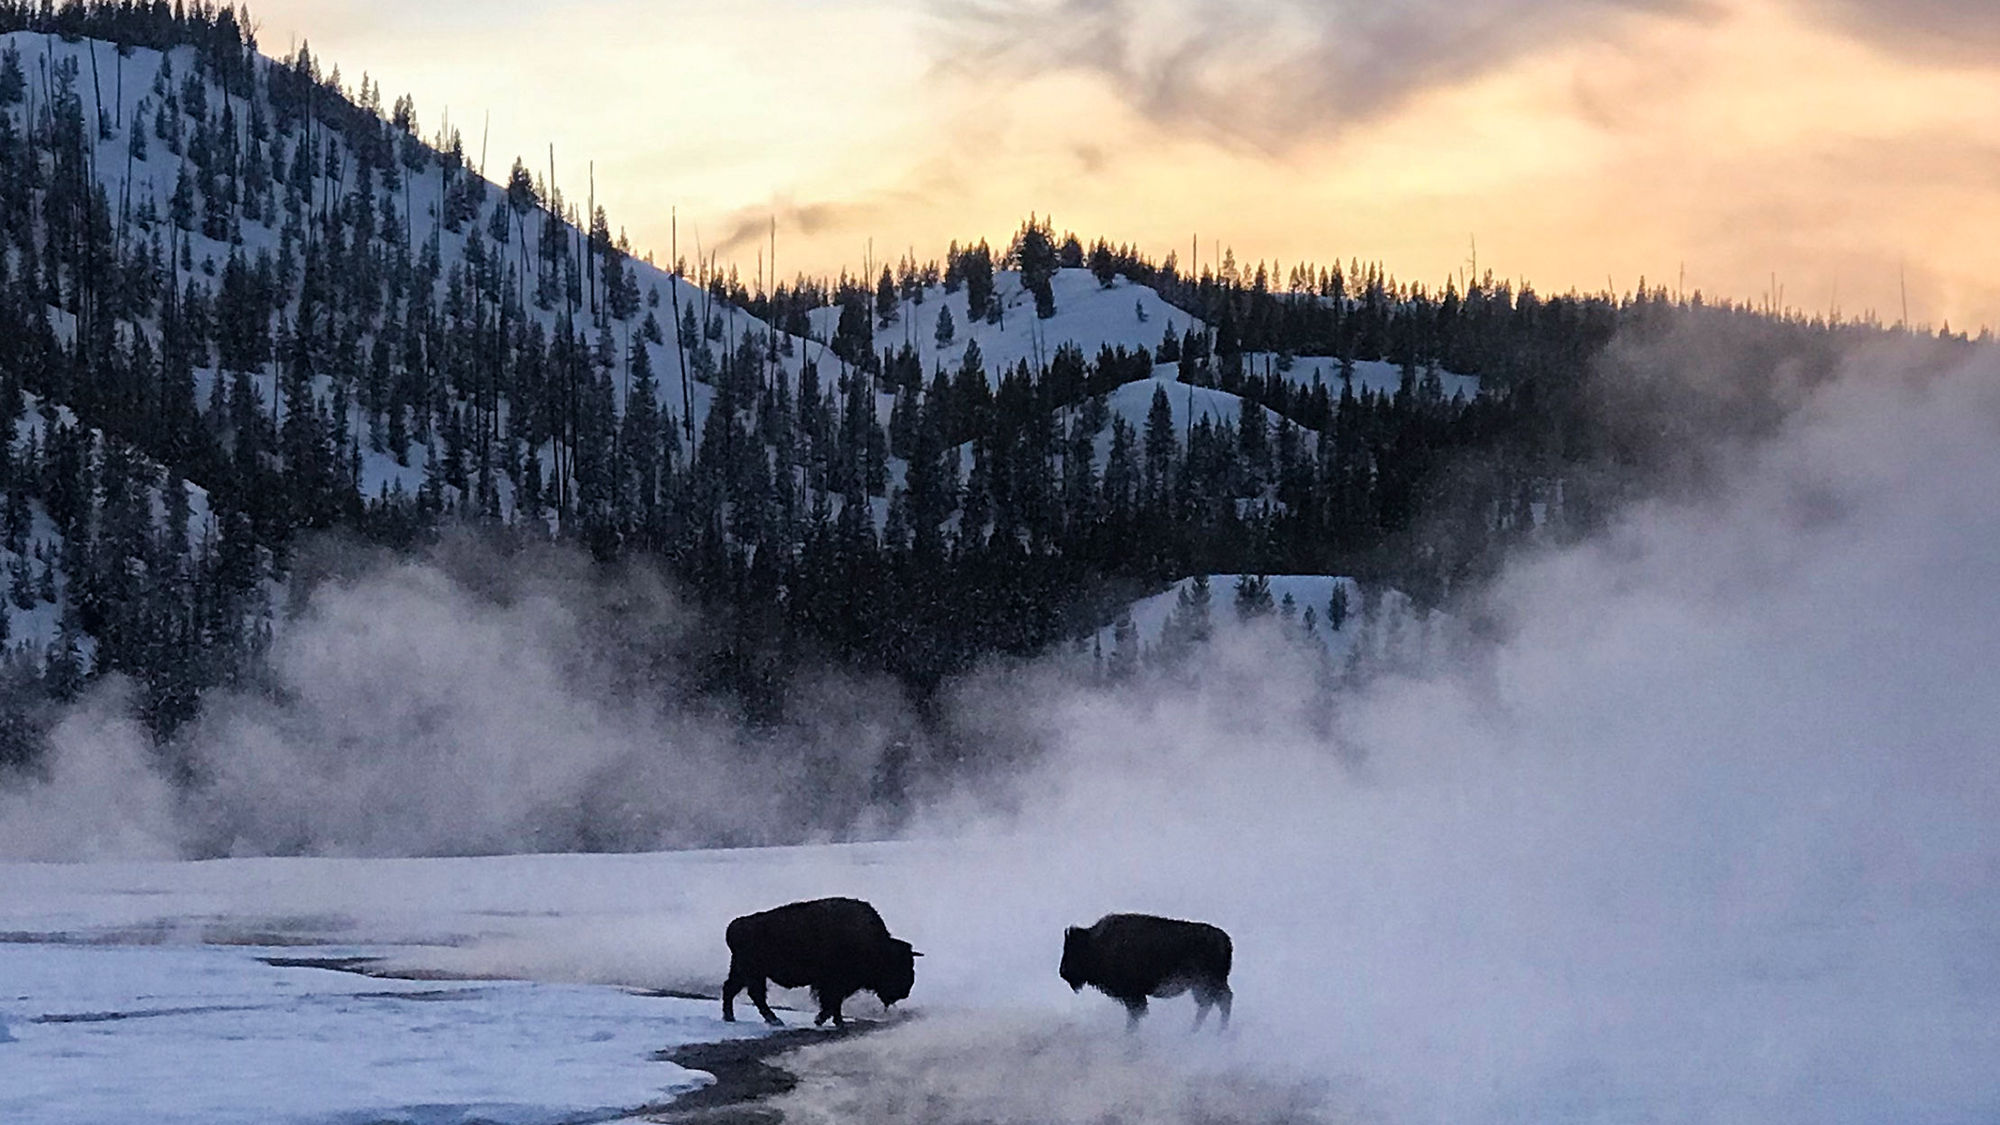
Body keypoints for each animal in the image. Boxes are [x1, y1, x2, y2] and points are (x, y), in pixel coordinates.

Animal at [721, 897, 919, 1028]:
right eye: (895, 965)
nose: (905, 991)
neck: (874, 946)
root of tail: (734, 926)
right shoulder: (833, 983)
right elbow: (831, 1002)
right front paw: (823, 1020)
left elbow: (834, 1003)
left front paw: (835, 1021)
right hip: (753, 973)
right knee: (755, 995)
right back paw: (774, 1020)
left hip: (743, 971)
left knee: (732, 989)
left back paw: (731, 1017)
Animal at [1060, 913, 1233, 1031]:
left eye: (1073, 951)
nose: (1063, 972)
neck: (1097, 944)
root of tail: (1226, 940)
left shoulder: (1133, 996)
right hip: (1202, 986)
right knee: (1210, 1004)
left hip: (1208, 983)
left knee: (1222, 1001)